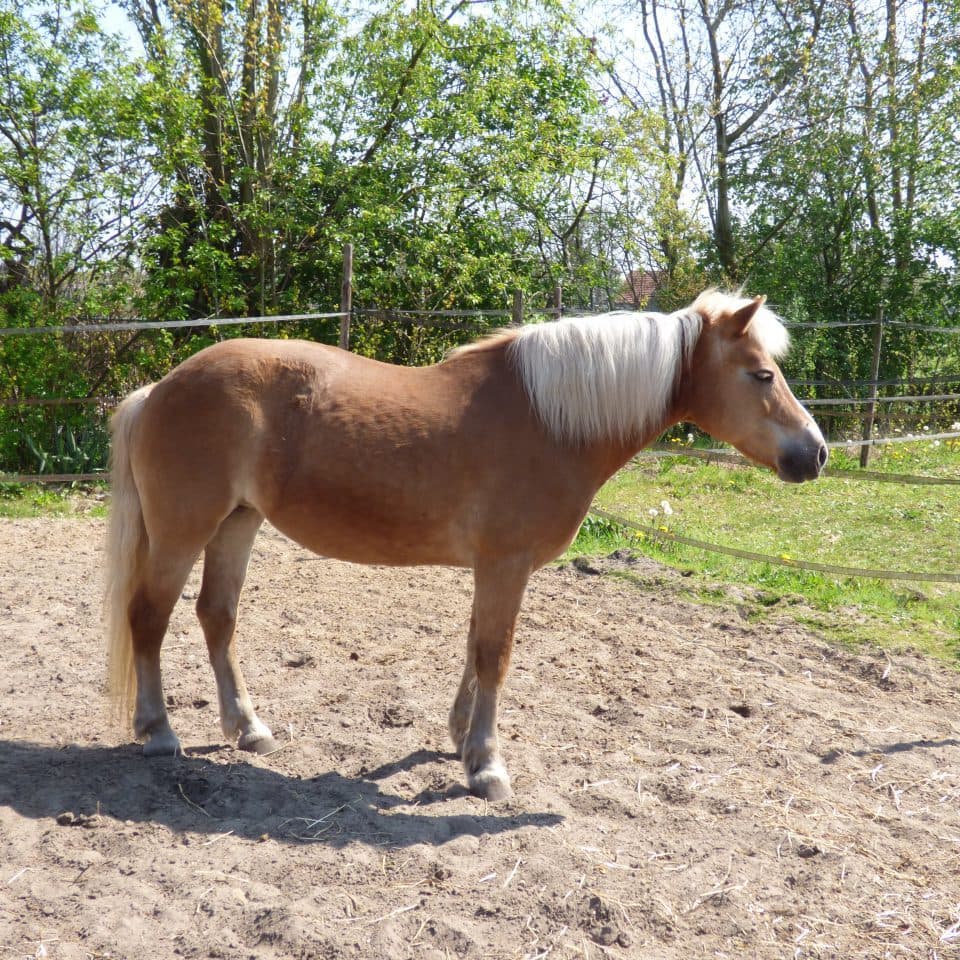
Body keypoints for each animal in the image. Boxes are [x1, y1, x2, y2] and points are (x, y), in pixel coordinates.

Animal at [104, 290, 826, 800]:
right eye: (762, 375)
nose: (815, 453)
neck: (548, 419)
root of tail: (161, 387)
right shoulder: (505, 564)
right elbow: (494, 655)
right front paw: (486, 766)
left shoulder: (495, 567)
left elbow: (477, 646)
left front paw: (460, 739)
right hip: (183, 531)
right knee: (149, 617)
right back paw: (158, 731)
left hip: (238, 523)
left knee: (216, 617)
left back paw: (247, 727)